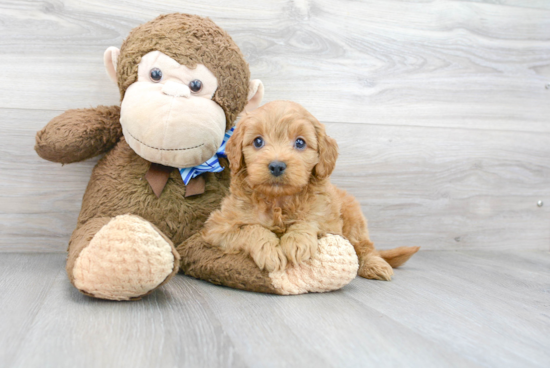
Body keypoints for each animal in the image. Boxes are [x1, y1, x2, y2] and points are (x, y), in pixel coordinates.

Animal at [205, 100, 420, 278]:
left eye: (300, 142)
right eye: (258, 141)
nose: (276, 166)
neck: (278, 201)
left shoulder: (328, 221)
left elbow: (309, 220)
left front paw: (297, 241)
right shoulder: (218, 228)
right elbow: (250, 228)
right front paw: (270, 250)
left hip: (354, 220)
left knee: (366, 247)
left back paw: (376, 265)